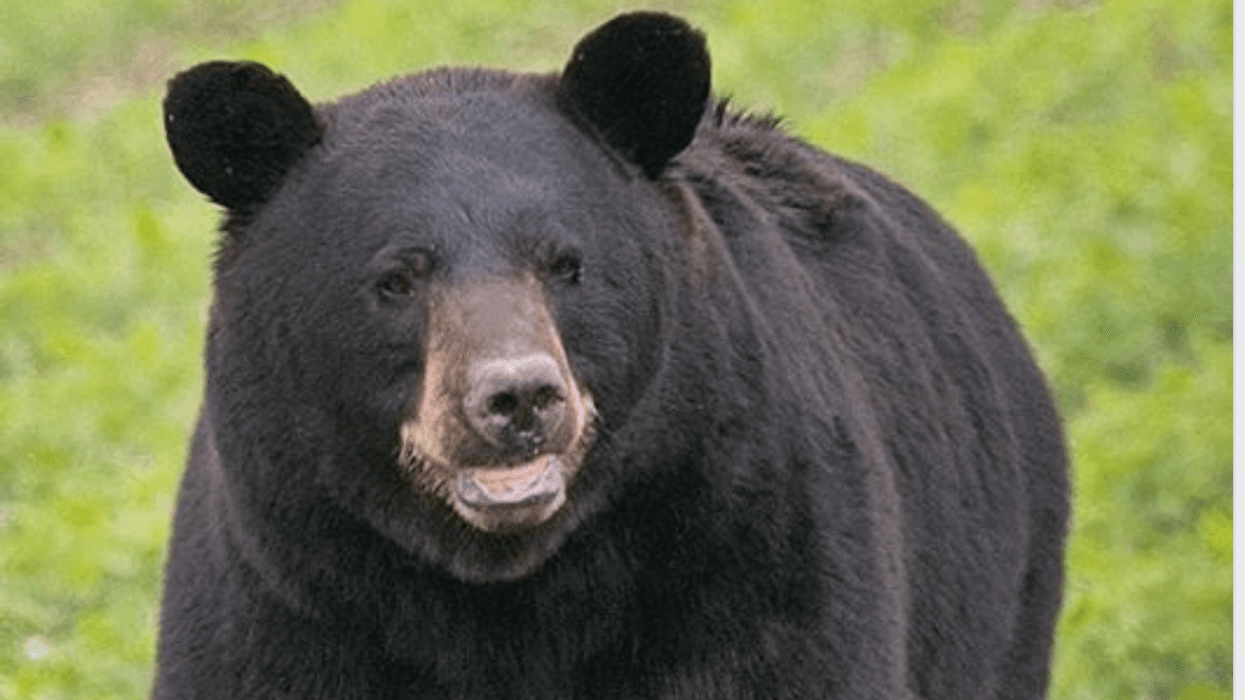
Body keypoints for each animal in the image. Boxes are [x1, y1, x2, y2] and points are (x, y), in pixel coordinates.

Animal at [151, 11, 1067, 700]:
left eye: (567, 263)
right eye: (396, 279)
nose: (518, 396)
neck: (503, 589)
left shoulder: (759, 553)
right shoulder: (286, 588)